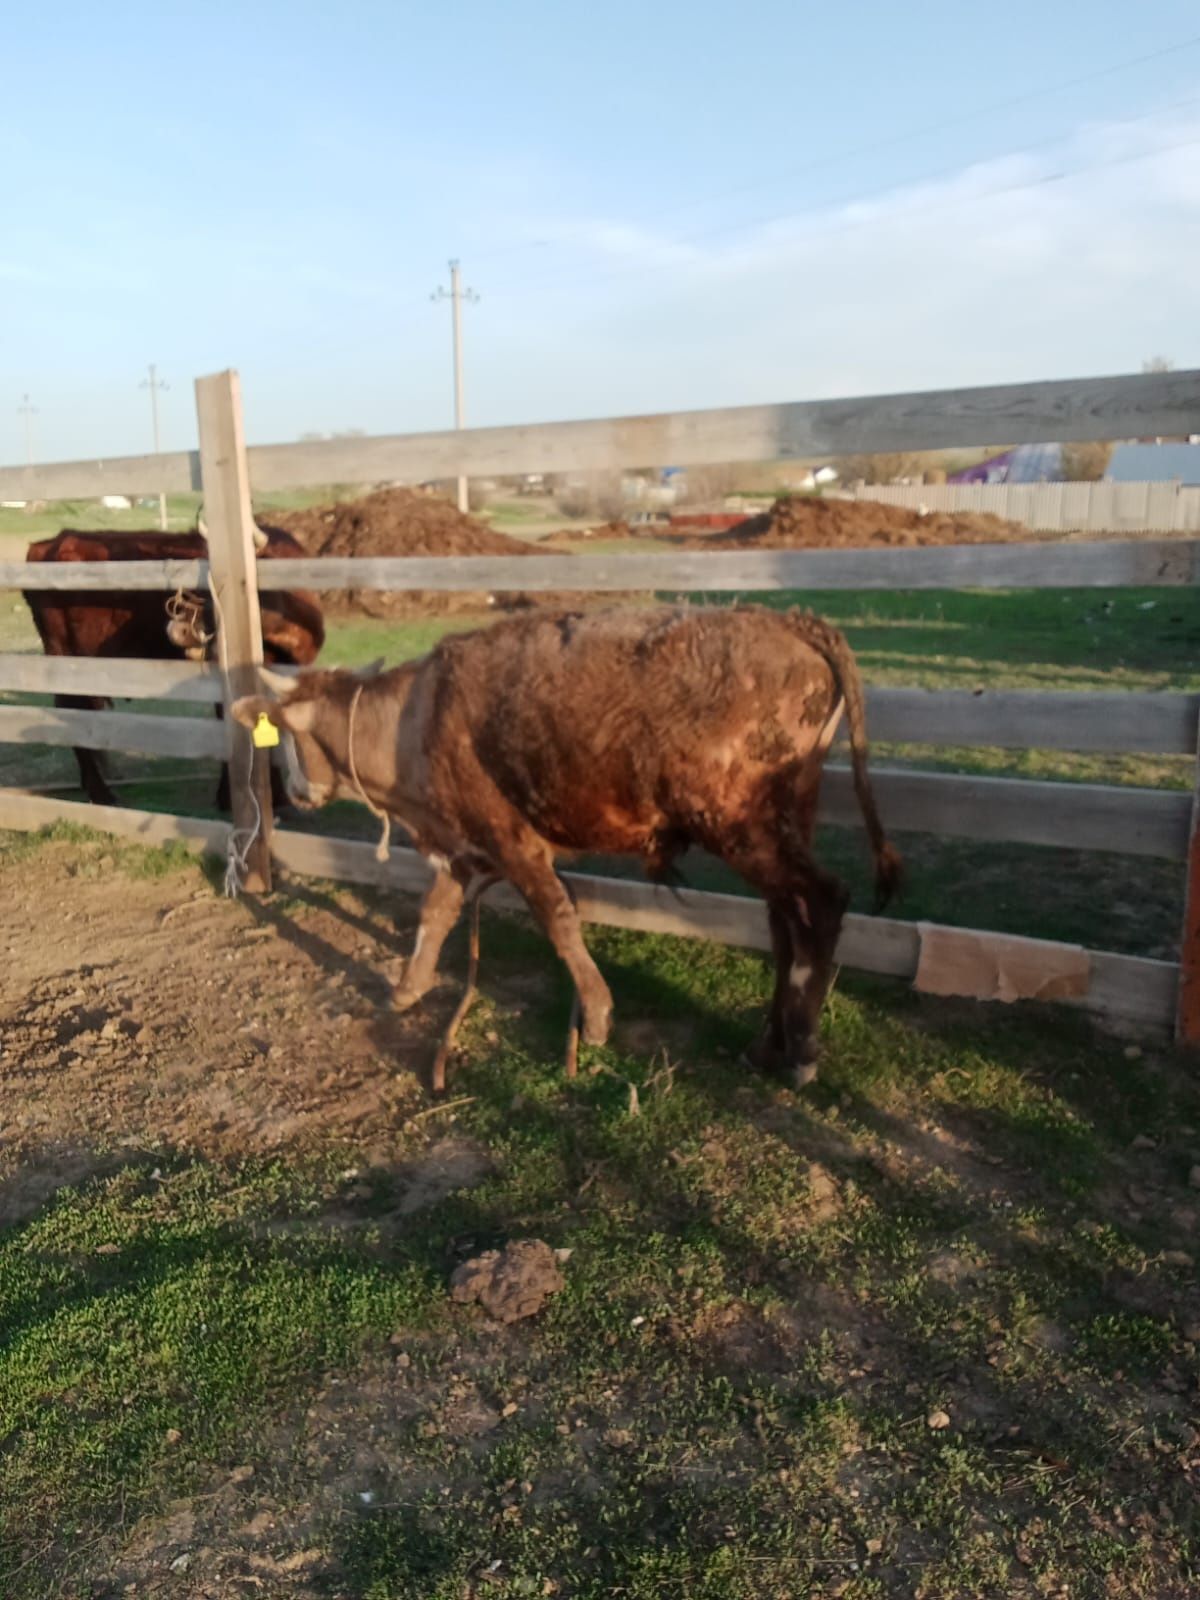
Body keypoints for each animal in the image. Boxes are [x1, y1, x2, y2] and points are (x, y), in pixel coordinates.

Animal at [24, 524, 324, 812]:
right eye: (205, 589)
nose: (178, 629)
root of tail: (53, 542)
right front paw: (233, 797)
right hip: (65, 657)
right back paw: (101, 793)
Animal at [235, 601, 902, 1088]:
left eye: (286, 737)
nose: (295, 791)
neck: (414, 722)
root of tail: (789, 622)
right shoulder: (462, 843)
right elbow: (436, 912)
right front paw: (407, 987)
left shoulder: (514, 841)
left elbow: (557, 918)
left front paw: (599, 1013)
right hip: (782, 821)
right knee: (786, 921)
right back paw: (767, 1044)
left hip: (743, 825)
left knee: (822, 902)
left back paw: (802, 1049)